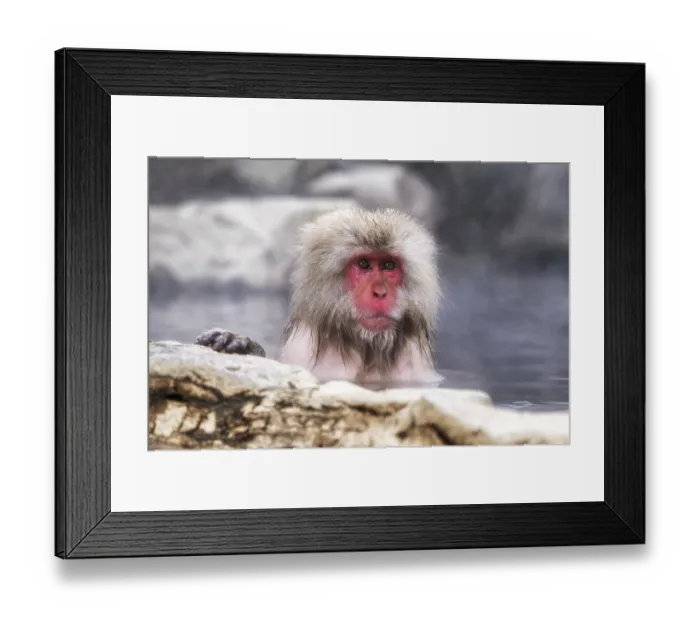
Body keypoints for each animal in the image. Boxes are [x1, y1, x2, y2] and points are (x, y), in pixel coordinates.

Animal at [195, 207, 443, 385]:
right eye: (364, 264)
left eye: (389, 265)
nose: (380, 293)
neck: (364, 347)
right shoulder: (300, 346)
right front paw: (240, 343)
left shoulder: (416, 361)